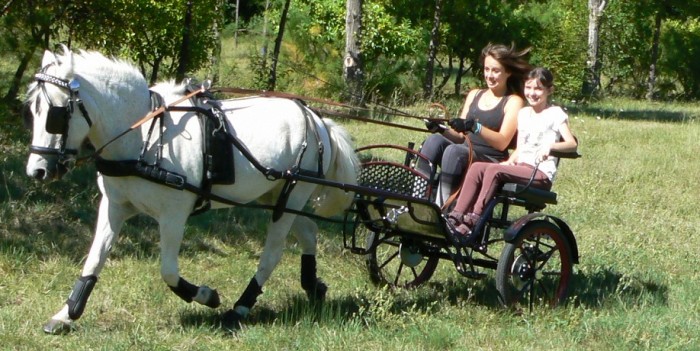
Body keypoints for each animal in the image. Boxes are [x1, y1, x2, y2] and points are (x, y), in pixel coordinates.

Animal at [23, 47, 358, 336]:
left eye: (55, 114)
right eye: (32, 111)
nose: (36, 171)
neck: (144, 137)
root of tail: (318, 120)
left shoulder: (174, 215)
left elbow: (168, 271)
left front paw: (207, 296)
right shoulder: (114, 206)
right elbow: (94, 259)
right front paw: (65, 314)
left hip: (292, 195)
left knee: (273, 252)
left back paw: (240, 308)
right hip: (278, 196)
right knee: (310, 231)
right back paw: (313, 286)